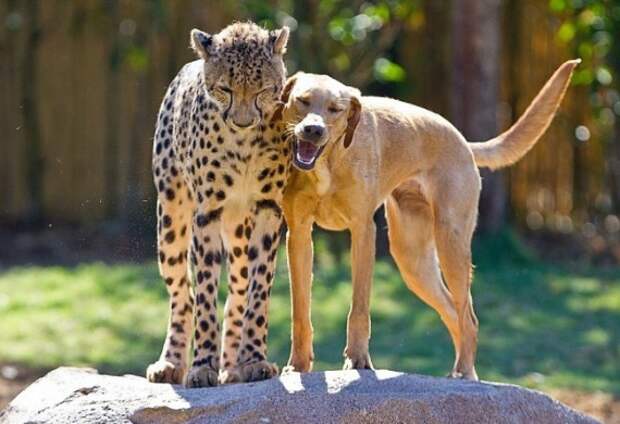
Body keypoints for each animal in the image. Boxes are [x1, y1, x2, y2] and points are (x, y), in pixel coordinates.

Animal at [147, 22, 292, 388]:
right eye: (225, 88)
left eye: (263, 90)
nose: (242, 121)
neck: (243, 143)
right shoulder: (207, 213)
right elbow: (205, 294)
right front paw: (201, 366)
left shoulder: (268, 209)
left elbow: (258, 291)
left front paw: (253, 360)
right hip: (170, 221)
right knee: (182, 295)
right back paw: (172, 363)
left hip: (240, 231)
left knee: (237, 293)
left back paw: (232, 367)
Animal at [278, 58, 580, 380]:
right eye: (303, 101)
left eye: (335, 109)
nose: (312, 130)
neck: (327, 164)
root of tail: (462, 141)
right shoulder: (298, 236)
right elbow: (300, 312)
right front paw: (298, 365)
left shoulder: (362, 232)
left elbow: (358, 308)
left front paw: (358, 360)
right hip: (414, 261)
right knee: (453, 312)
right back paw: (464, 372)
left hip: (451, 244)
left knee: (468, 317)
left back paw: (463, 373)